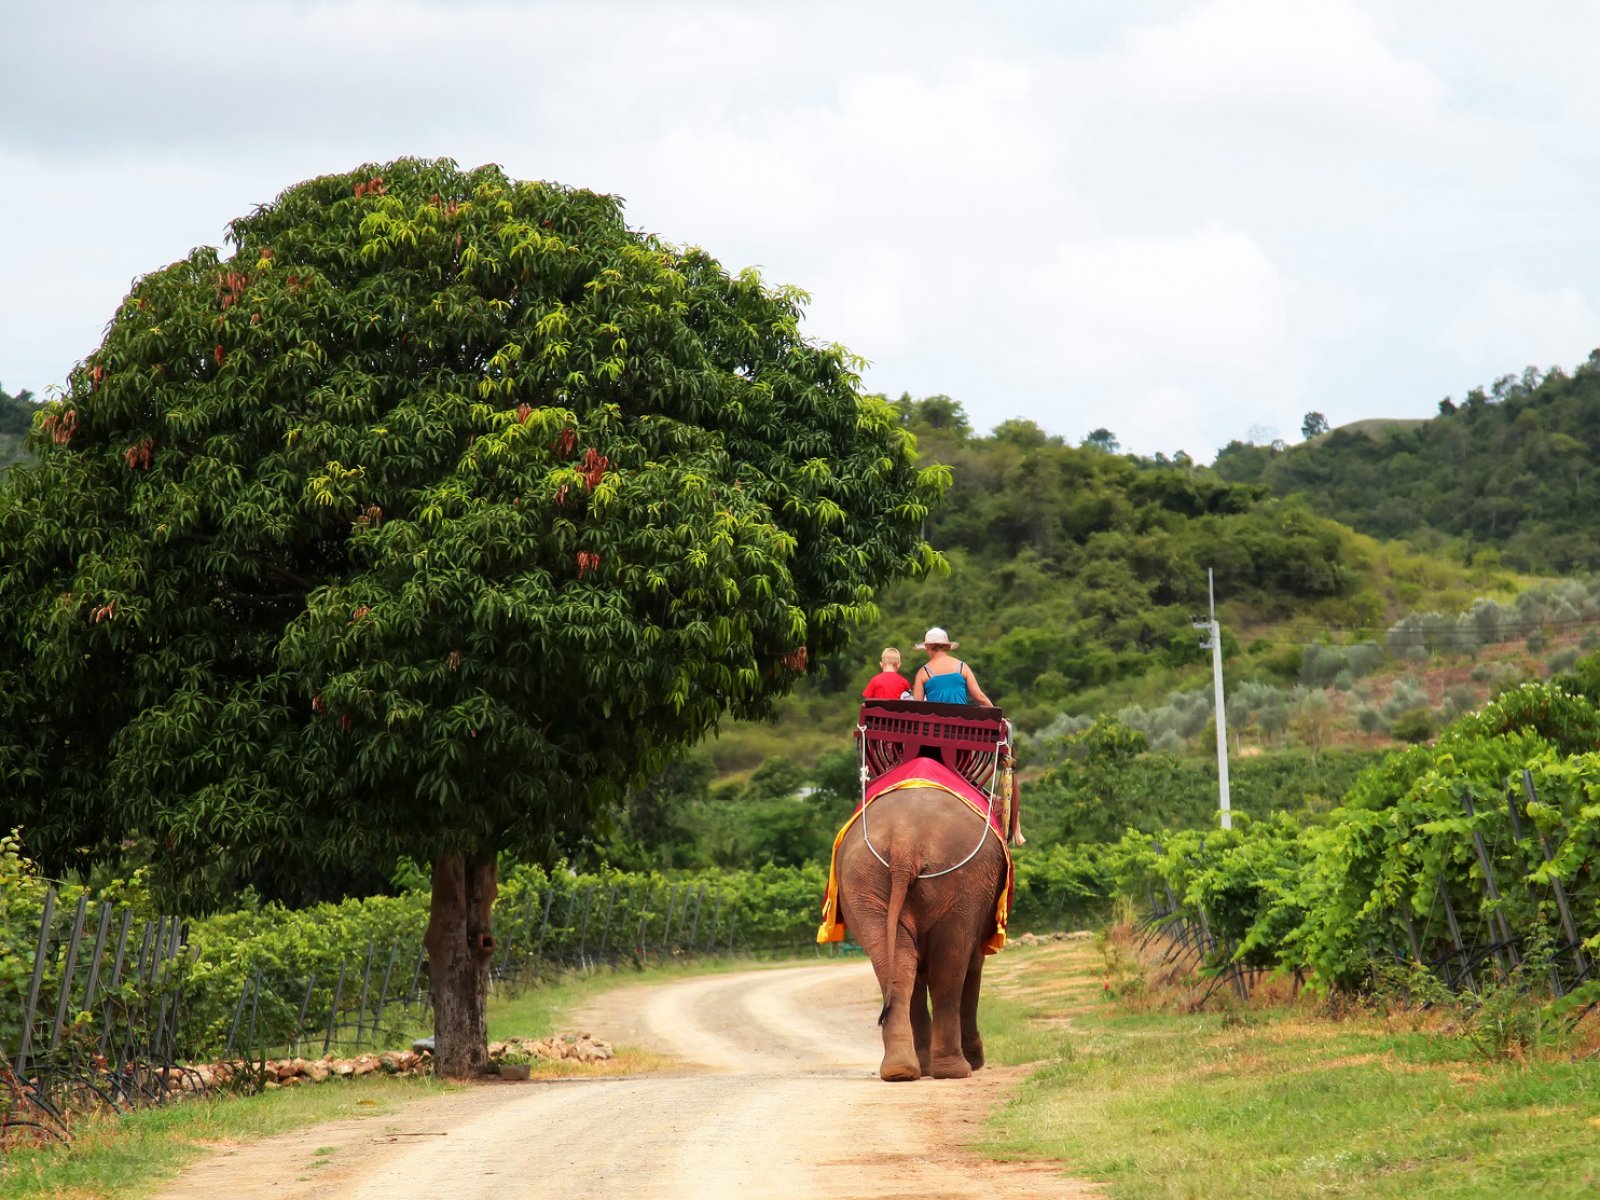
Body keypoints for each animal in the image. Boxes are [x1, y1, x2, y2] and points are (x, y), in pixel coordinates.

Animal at [832, 784, 1004, 1088]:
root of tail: (904, 842)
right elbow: (973, 965)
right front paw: (976, 1062)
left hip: (862, 881)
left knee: (897, 964)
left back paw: (902, 1070)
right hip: (963, 883)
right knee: (949, 967)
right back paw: (955, 1070)